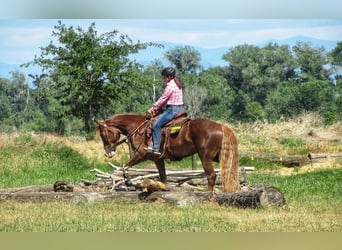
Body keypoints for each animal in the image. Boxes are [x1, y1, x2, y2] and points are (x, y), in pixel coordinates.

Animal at [95, 113, 240, 193]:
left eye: (103, 134)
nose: (108, 153)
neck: (139, 129)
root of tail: (221, 126)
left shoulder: (140, 155)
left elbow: (124, 166)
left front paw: (129, 182)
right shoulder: (158, 159)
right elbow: (163, 177)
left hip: (205, 157)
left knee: (211, 176)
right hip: (219, 156)